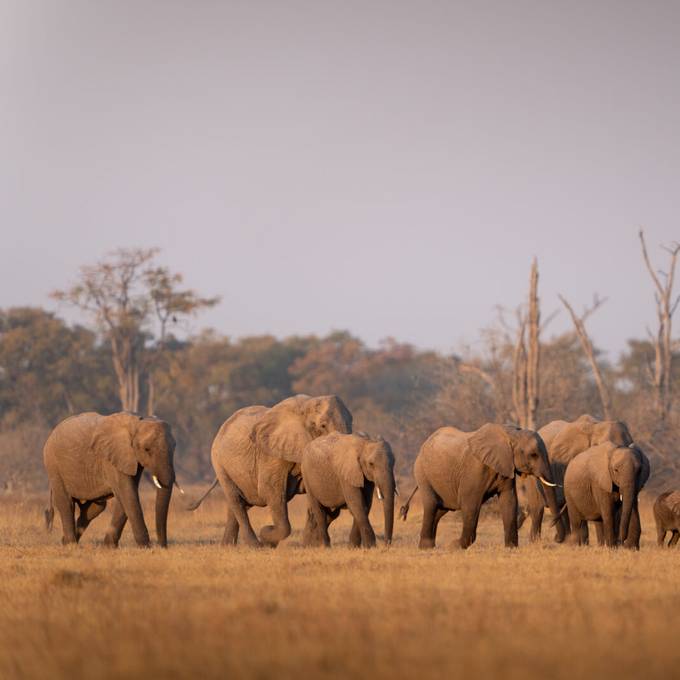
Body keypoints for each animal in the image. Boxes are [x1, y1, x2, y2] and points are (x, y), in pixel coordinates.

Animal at [43, 411, 177, 548]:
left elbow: (127, 494)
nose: (163, 547)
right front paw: (145, 547)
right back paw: (71, 545)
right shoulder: (111, 459)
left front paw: (108, 547)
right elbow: (128, 493)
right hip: (54, 466)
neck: (137, 422)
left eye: (175, 447)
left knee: (96, 508)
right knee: (66, 503)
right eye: (147, 449)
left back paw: (65, 541)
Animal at [187, 394, 353, 547]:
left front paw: (309, 545)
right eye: (323, 426)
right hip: (220, 464)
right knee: (236, 501)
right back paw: (255, 546)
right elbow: (270, 491)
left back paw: (227, 546)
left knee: (240, 503)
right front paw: (266, 534)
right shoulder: (271, 455)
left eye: (351, 423)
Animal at [400, 423, 560, 549]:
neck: (510, 433)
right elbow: (470, 505)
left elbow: (509, 502)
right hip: (422, 473)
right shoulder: (474, 470)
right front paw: (454, 546)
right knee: (431, 505)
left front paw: (511, 547)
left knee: (442, 508)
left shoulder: (505, 467)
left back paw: (430, 546)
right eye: (533, 455)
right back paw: (426, 547)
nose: (552, 524)